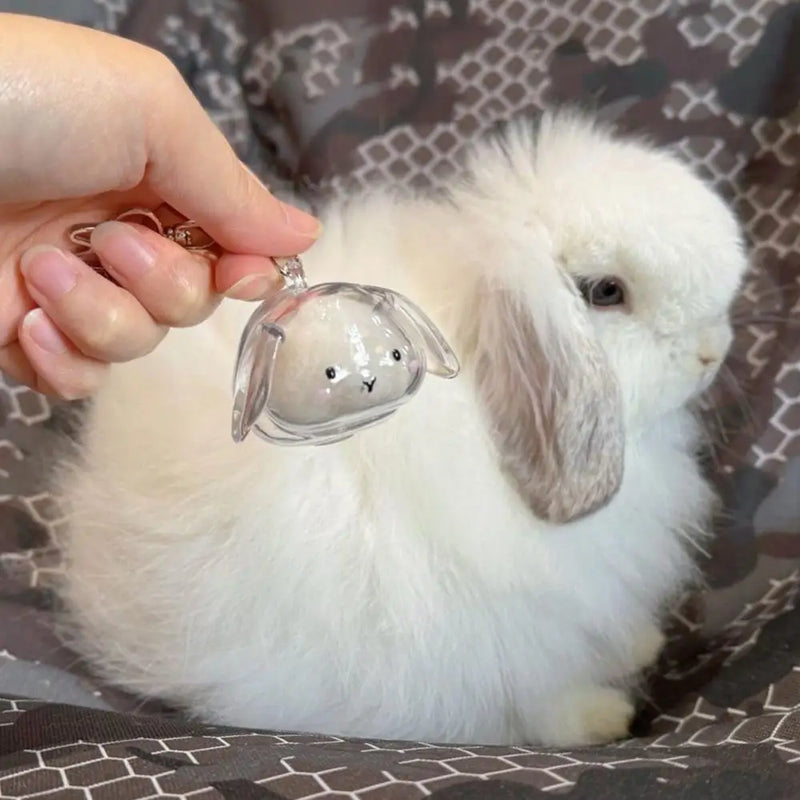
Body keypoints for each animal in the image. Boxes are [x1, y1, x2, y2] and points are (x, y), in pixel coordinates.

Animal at [52, 110, 748, 747]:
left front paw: (642, 644)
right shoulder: (501, 639)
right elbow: (536, 699)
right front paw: (602, 719)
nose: (713, 352)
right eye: (606, 292)